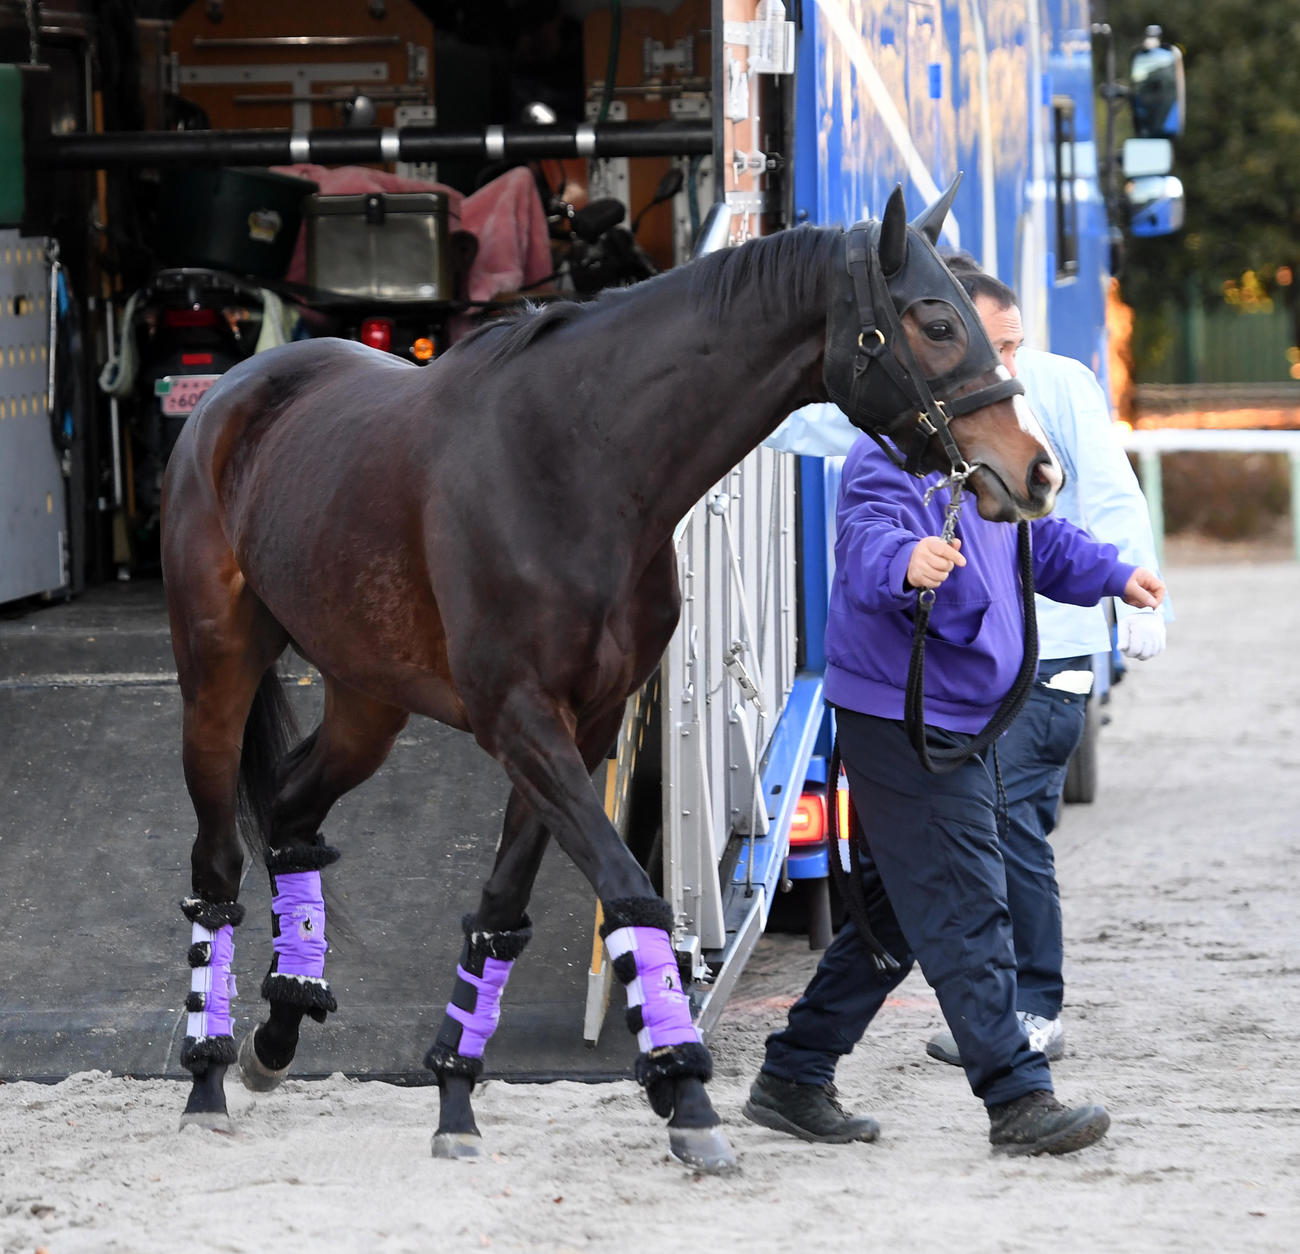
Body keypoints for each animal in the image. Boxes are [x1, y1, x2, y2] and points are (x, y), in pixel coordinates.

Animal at [159, 177, 1063, 1174]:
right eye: (936, 322)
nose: (1037, 470)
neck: (579, 463)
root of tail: (229, 397)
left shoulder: (583, 725)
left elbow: (502, 910)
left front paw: (456, 1094)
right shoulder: (520, 720)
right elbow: (628, 888)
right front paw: (687, 1091)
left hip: (368, 702)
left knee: (290, 812)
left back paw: (279, 1029)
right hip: (217, 677)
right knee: (216, 862)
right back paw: (206, 1075)